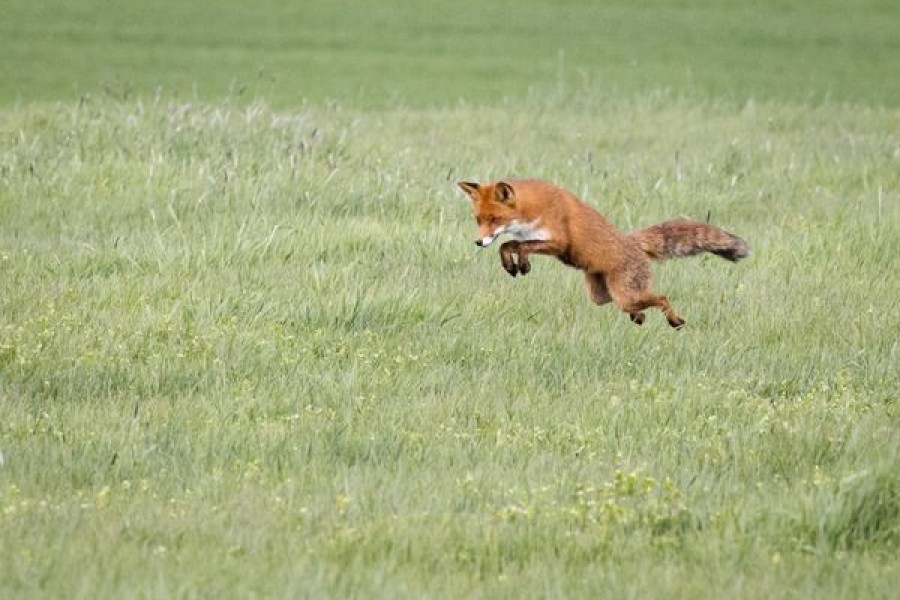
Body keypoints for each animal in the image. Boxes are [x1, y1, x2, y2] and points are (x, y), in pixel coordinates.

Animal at [460, 178, 748, 328]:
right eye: (478, 220)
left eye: (495, 219)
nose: (477, 242)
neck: (534, 208)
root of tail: (633, 241)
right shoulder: (531, 238)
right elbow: (508, 245)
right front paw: (516, 266)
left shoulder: (559, 242)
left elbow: (515, 245)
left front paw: (519, 264)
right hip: (602, 295)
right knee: (640, 306)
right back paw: (640, 318)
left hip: (625, 296)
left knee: (661, 297)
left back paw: (674, 320)